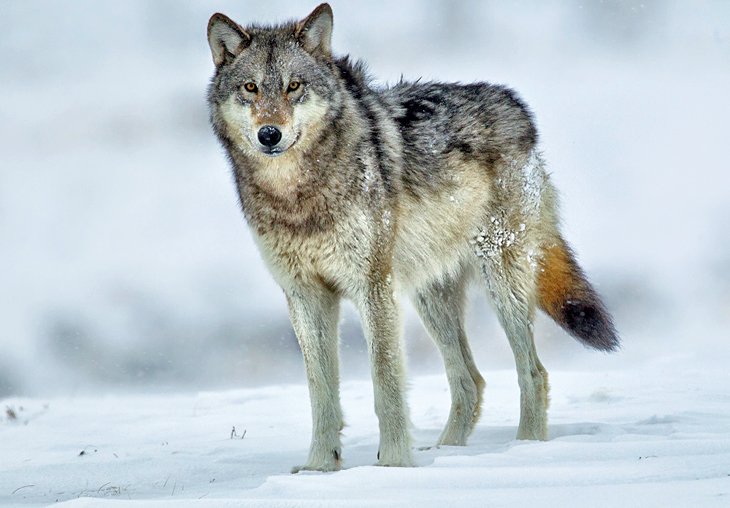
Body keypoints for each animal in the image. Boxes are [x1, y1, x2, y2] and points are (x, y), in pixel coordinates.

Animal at [203, 2, 616, 472]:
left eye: (294, 86)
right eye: (250, 88)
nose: (269, 134)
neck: (297, 198)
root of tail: (514, 106)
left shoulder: (372, 287)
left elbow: (386, 383)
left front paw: (394, 466)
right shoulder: (305, 295)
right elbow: (321, 393)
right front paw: (319, 468)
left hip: (501, 283)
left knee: (533, 372)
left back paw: (525, 448)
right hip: (430, 296)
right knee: (470, 380)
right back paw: (448, 453)